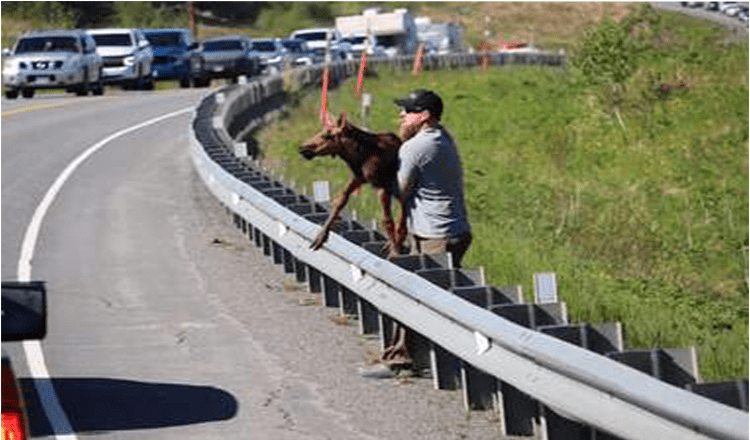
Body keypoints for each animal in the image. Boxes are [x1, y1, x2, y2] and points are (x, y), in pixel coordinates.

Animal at [300, 111, 408, 258]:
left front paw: (395, 252)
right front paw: (320, 238)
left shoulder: (381, 187)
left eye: (326, 135)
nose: (302, 148)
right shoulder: (358, 178)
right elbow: (340, 200)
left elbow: (387, 220)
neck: (358, 156)